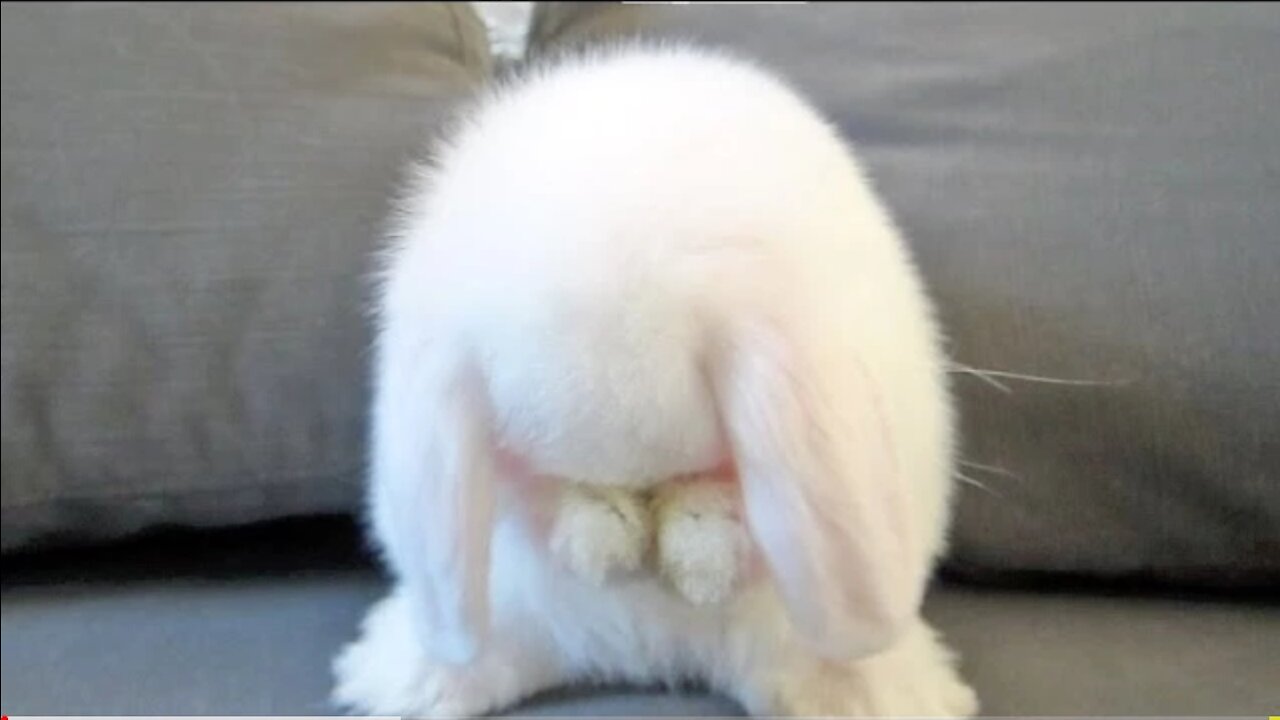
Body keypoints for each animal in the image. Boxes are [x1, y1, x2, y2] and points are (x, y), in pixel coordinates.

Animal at [332, 41, 977, 712]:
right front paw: (599, 535)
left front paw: (699, 545)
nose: (638, 554)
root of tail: (646, 656)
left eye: (707, 460)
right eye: (554, 467)